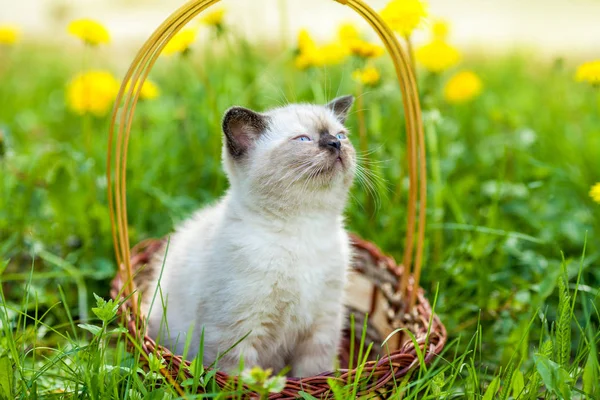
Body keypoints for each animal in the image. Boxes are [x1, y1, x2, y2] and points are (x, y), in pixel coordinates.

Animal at [141, 95, 356, 376]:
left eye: (341, 135)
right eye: (303, 139)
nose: (335, 143)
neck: (304, 228)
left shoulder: (322, 325)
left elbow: (312, 373)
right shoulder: (238, 330)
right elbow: (242, 377)